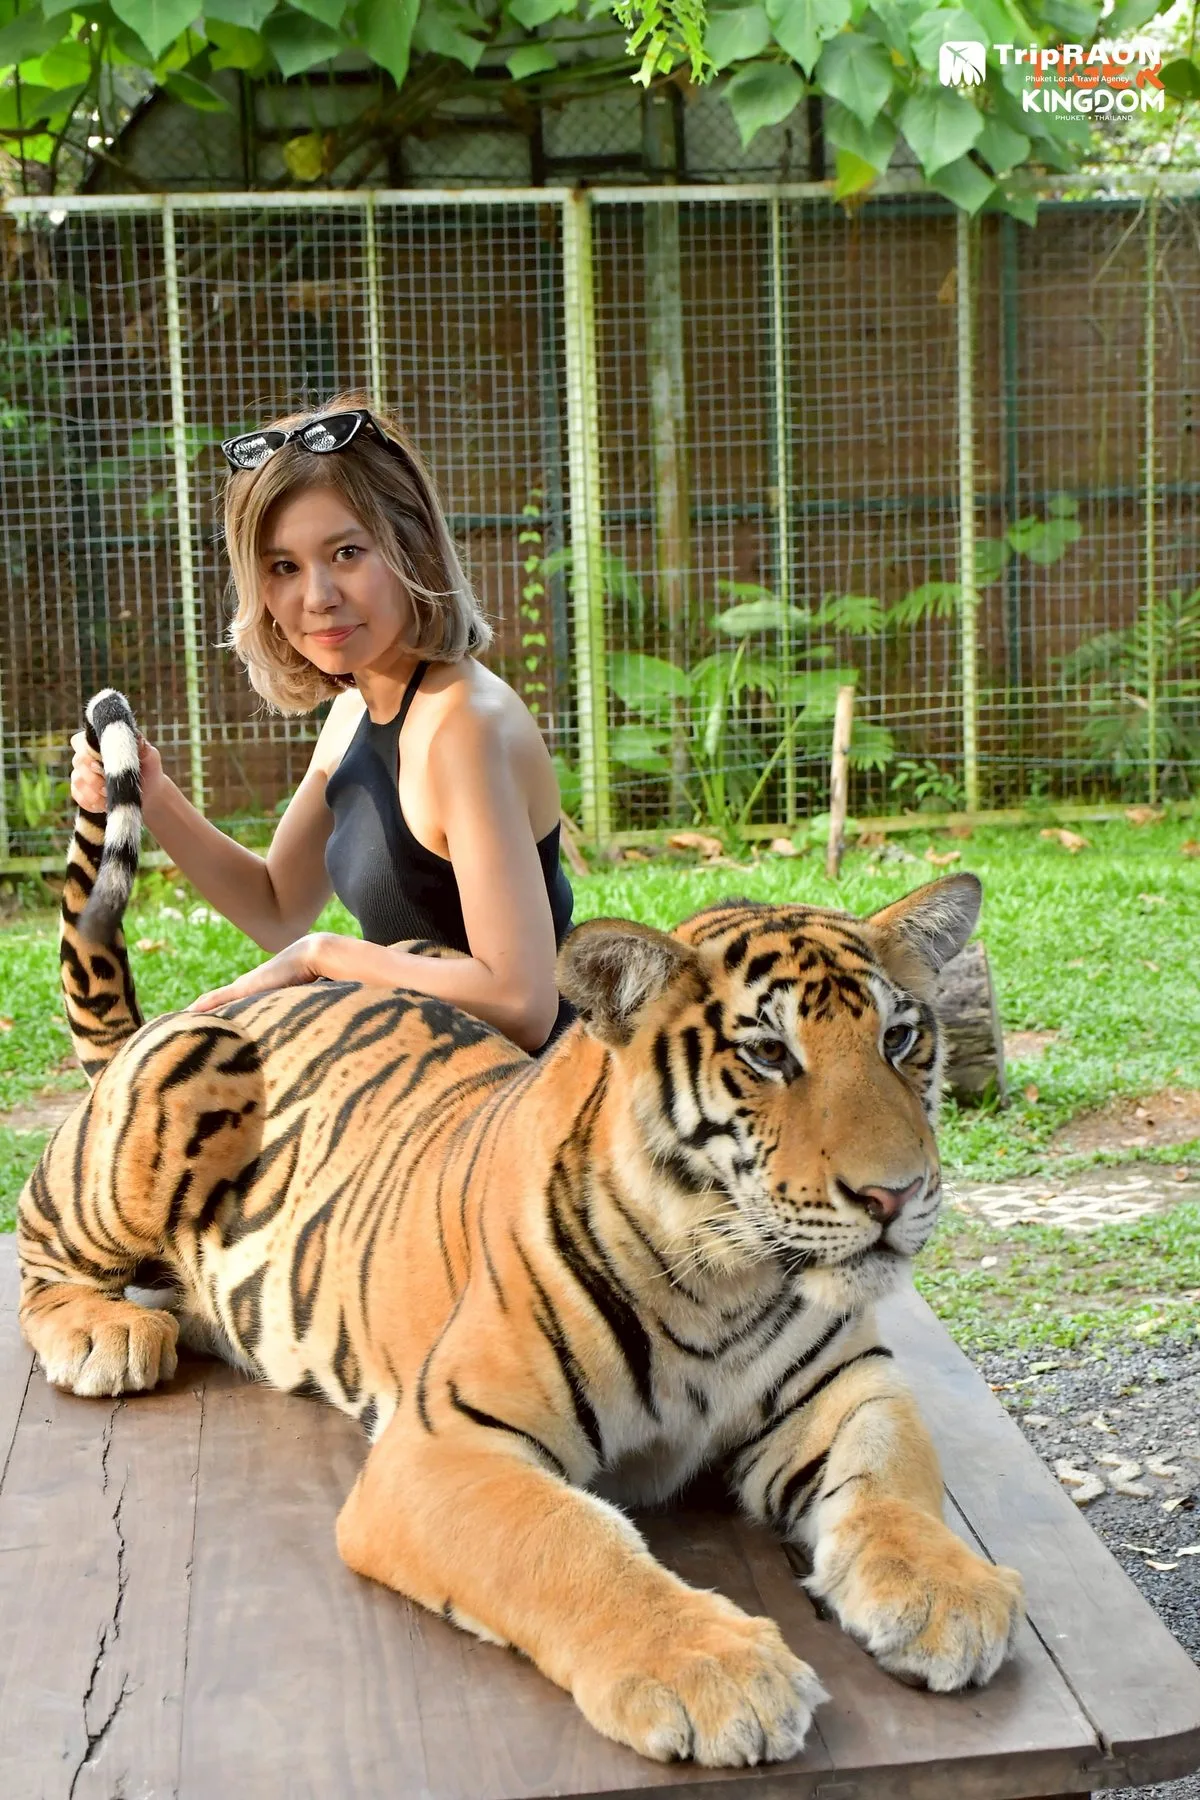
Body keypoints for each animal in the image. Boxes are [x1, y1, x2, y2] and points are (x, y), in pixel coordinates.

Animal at [18, 689, 1023, 1769]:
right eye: (766, 1055)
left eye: (901, 1038)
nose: (896, 1195)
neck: (729, 1284)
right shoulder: (446, 1447)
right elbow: (574, 1548)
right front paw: (719, 1673)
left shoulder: (847, 1383)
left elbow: (895, 1479)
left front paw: (947, 1594)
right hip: (194, 1068)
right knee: (39, 1248)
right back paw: (106, 1335)